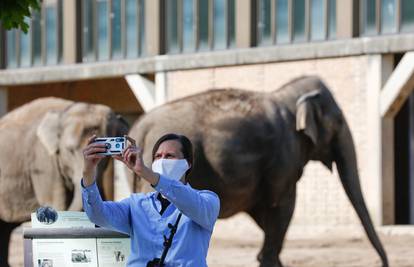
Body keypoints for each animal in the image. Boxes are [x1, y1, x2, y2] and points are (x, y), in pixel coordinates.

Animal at [129, 76, 388, 267]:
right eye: (340, 121)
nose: (383, 263)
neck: (288, 96)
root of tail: (140, 127)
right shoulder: (284, 158)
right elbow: (281, 207)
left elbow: (266, 217)